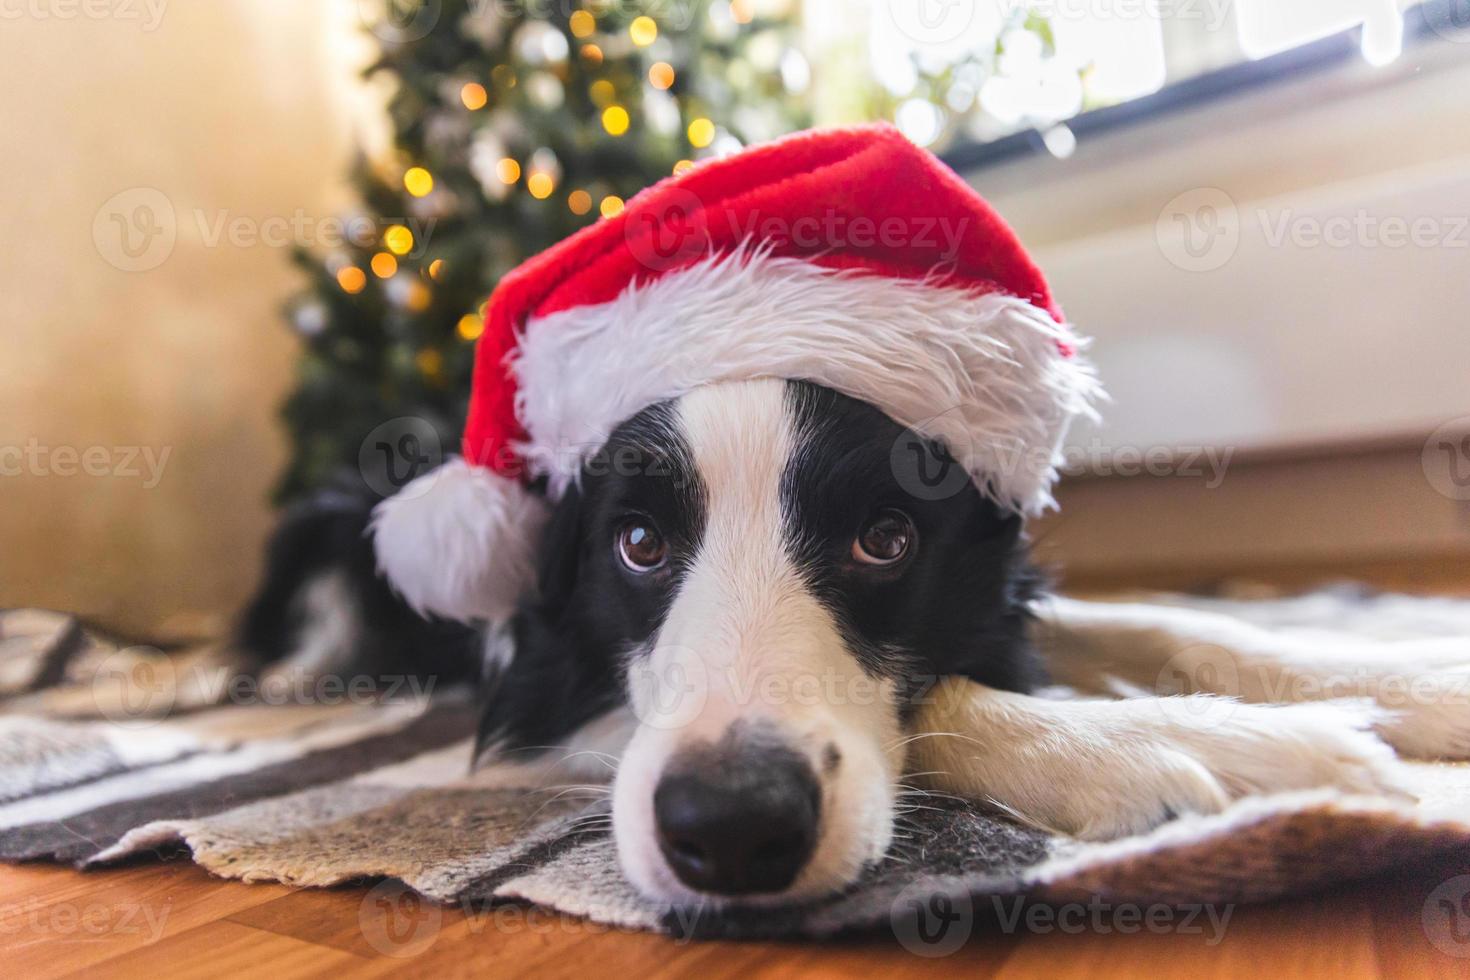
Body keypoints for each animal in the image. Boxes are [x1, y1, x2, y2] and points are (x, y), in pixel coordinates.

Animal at [246, 379, 1464, 910]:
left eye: (886, 538)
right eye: (637, 542)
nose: (732, 829)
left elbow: (1167, 617)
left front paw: (1406, 676)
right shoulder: (552, 695)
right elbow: (947, 699)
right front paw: (1234, 750)